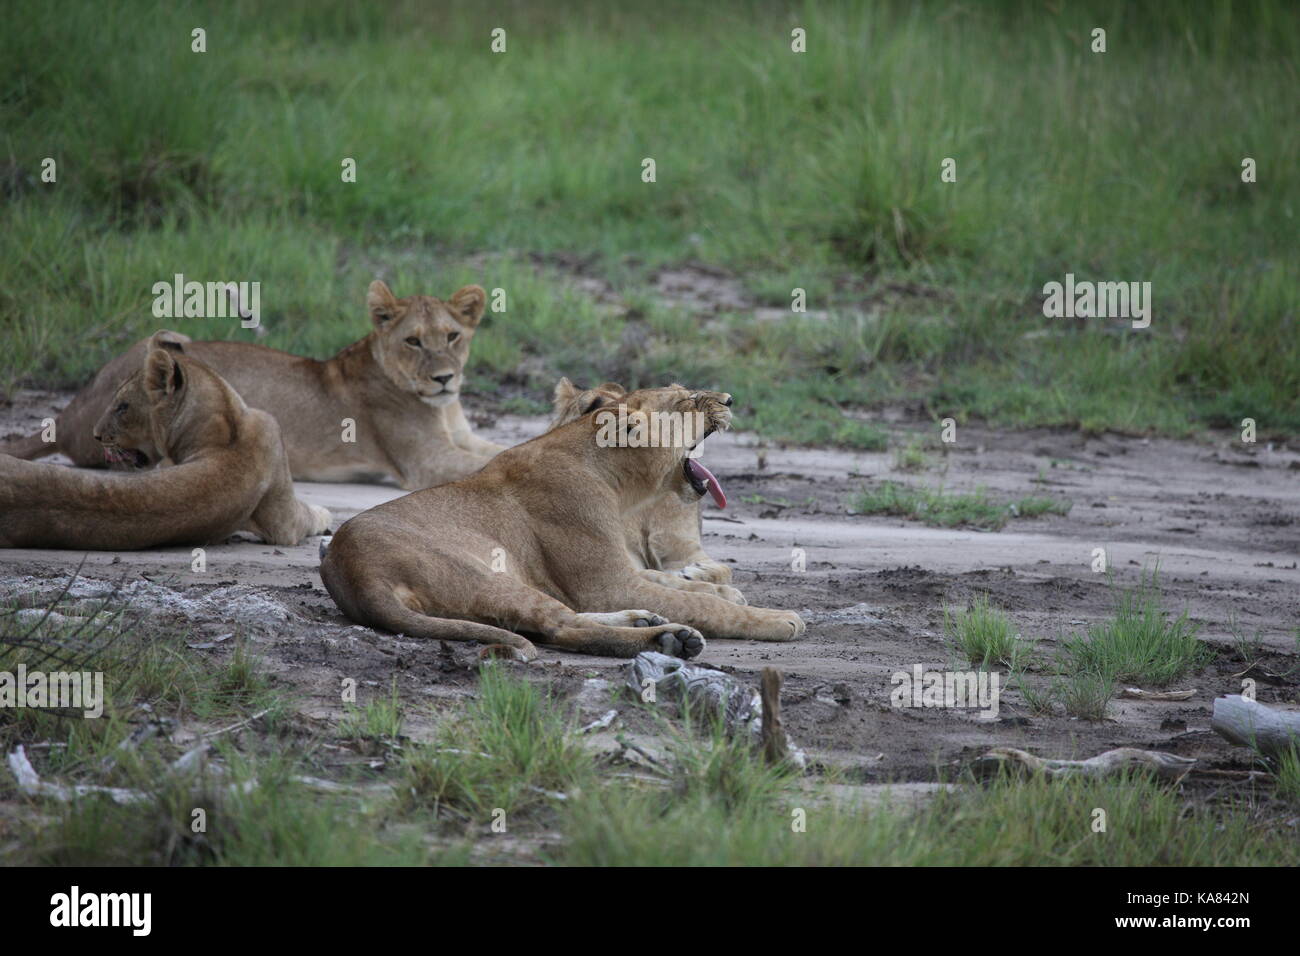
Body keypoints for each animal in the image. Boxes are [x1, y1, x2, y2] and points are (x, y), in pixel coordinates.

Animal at [0, 282, 504, 490]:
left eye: (452, 337)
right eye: (413, 341)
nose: (444, 378)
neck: (444, 407)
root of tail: (67, 414)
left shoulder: (463, 438)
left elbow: (497, 449)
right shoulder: (424, 461)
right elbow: (487, 463)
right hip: (165, 350)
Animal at [0, 334, 331, 550]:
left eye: (122, 407)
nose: (96, 436)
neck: (225, 427)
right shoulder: (284, 522)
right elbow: (307, 514)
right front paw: (326, 515)